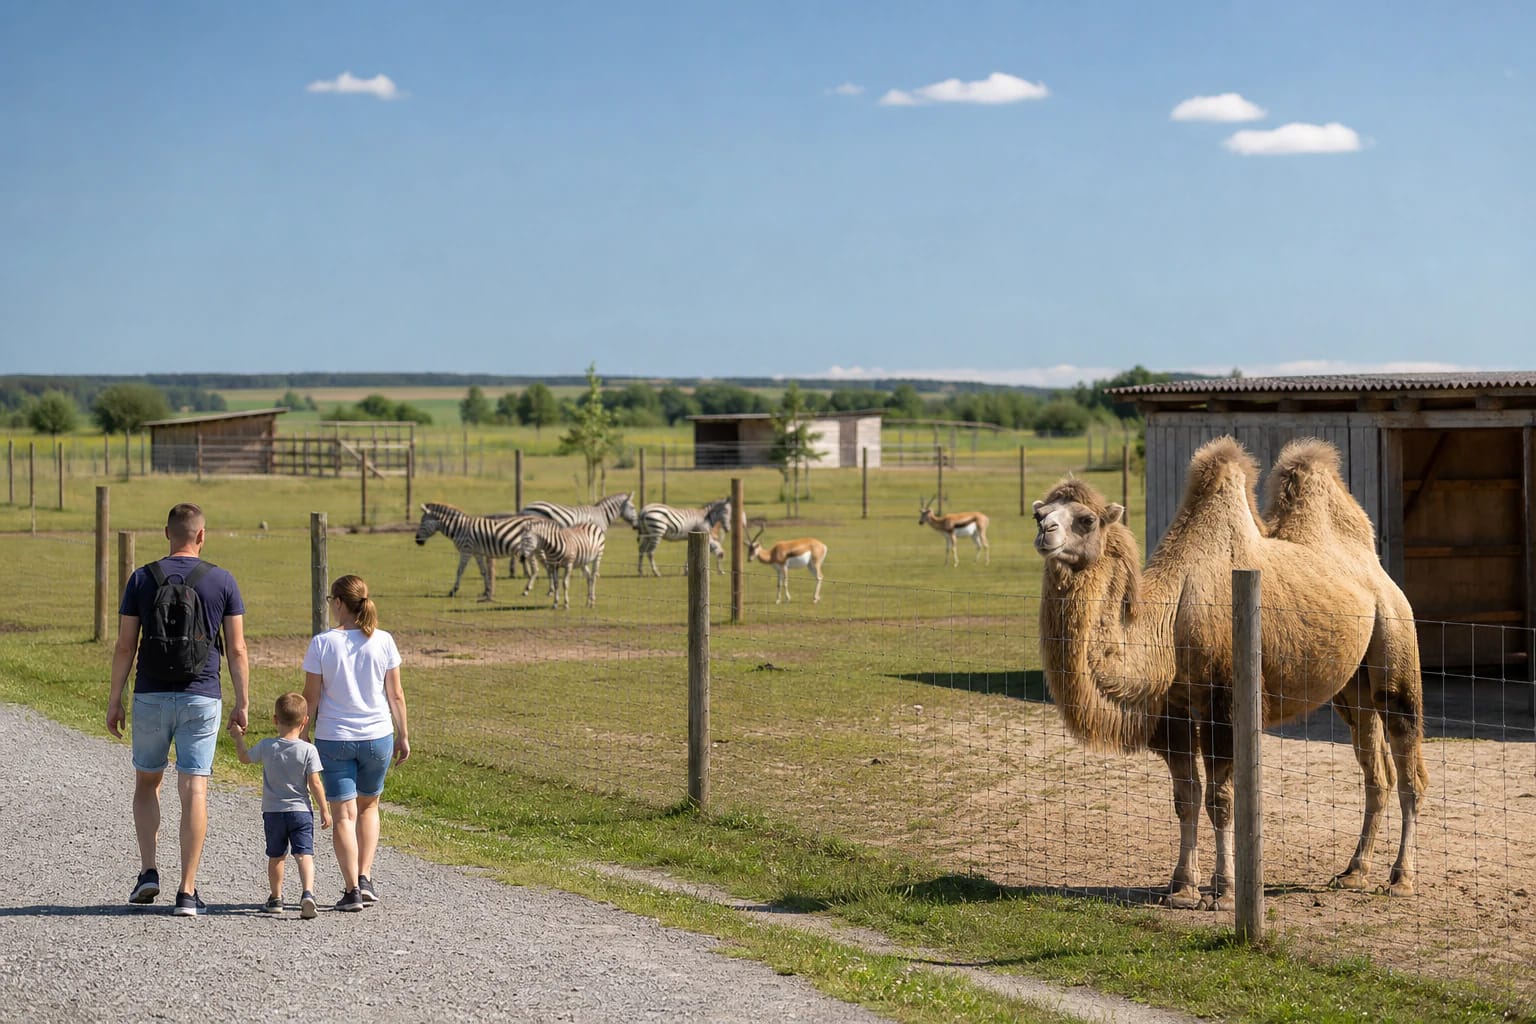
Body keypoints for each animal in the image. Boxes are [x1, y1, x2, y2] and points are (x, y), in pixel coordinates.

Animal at [1032, 436, 1427, 909]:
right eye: (1041, 511)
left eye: (1086, 519)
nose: (1044, 530)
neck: (1168, 624)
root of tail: (1376, 569)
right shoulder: (1174, 710)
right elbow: (1185, 797)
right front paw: (1182, 887)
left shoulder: (1224, 700)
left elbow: (1220, 798)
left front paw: (1222, 890)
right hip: (1353, 688)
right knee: (1375, 769)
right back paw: (1354, 872)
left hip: (1396, 637)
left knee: (1408, 763)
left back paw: (1401, 877)